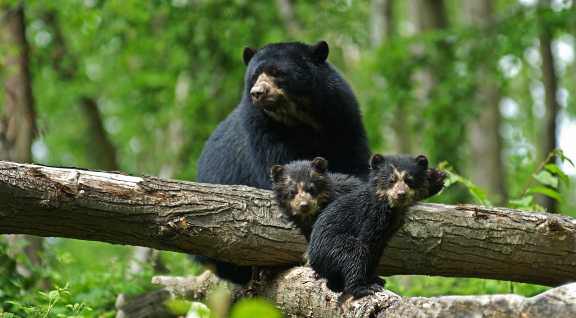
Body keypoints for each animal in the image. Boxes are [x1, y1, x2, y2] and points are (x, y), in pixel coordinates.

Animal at [196, 41, 372, 284]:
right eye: (254, 76)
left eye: (277, 72)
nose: (257, 93)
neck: (300, 119)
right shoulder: (263, 131)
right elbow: (282, 169)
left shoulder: (343, 117)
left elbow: (354, 161)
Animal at [306, 154, 446, 298]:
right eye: (391, 180)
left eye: (409, 180)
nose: (401, 194)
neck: (392, 207)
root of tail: (313, 259)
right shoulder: (373, 215)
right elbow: (368, 242)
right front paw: (371, 281)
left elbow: (378, 251)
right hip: (332, 246)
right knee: (354, 253)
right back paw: (362, 288)